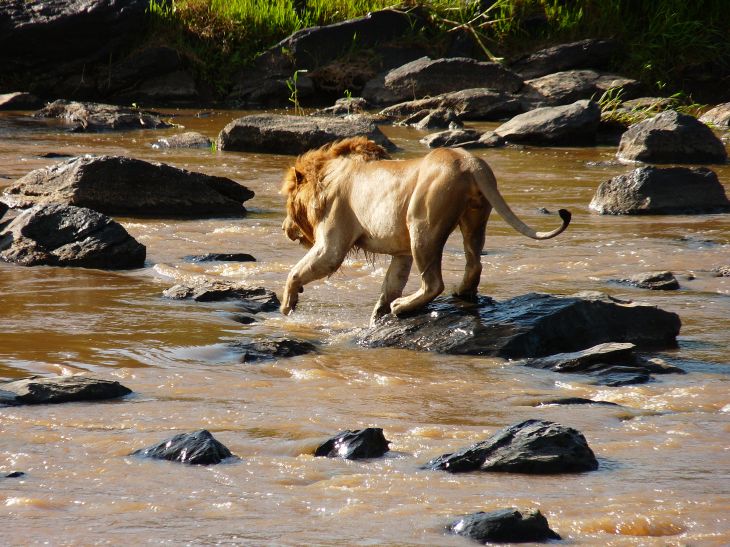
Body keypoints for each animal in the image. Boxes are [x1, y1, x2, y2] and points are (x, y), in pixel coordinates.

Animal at [280, 136, 571, 323]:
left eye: (288, 200)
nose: (283, 227)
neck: (326, 175)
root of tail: (469, 161)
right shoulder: (401, 253)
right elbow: (391, 283)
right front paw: (376, 316)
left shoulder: (332, 242)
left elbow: (296, 271)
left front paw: (287, 304)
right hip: (474, 219)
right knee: (474, 262)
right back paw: (461, 292)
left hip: (422, 225)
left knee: (433, 283)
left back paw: (402, 307)